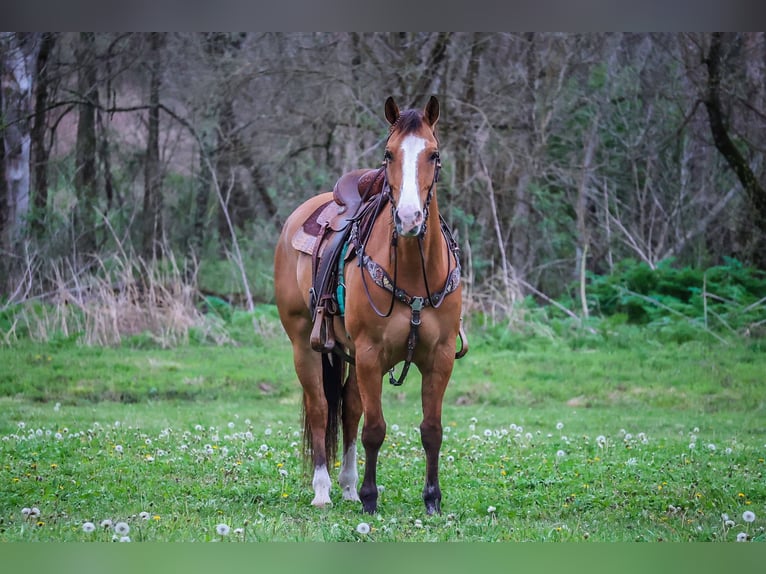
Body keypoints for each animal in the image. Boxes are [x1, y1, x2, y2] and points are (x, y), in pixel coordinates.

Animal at [276, 97, 468, 516]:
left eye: (434, 154)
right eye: (388, 154)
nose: (409, 218)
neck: (413, 273)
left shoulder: (441, 356)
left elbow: (431, 430)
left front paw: (432, 499)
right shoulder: (369, 352)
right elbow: (375, 430)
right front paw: (369, 498)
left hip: (346, 352)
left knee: (348, 407)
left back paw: (346, 486)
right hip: (304, 345)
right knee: (321, 407)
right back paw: (323, 490)